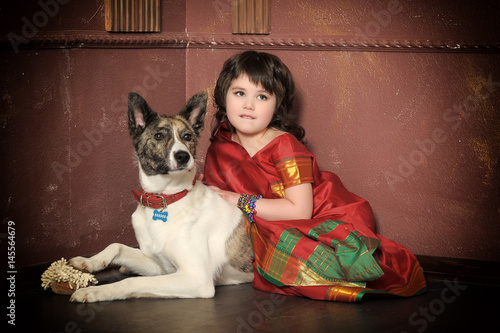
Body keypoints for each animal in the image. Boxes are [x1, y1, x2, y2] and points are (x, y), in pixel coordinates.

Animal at [69, 92, 254, 302]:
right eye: (159, 135)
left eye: (187, 136)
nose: (183, 156)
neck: (166, 198)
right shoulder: (159, 266)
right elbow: (117, 246)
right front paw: (88, 262)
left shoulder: (197, 278)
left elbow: (133, 282)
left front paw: (95, 291)